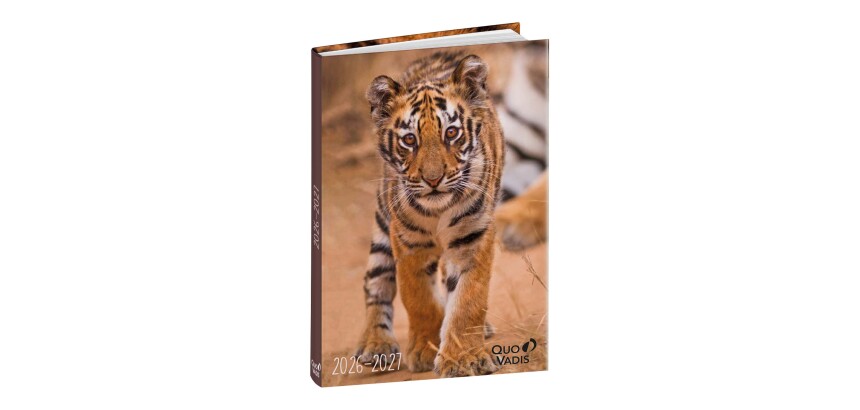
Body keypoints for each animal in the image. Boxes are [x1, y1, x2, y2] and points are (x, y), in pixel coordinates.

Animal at [355, 48, 547, 377]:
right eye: (409, 139)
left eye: (452, 133)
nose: (433, 180)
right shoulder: (408, 241)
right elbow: (417, 297)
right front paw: (425, 349)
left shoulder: (473, 237)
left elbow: (468, 299)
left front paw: (462, 358)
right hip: (382, 220)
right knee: (376, 280)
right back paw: (376, 344)